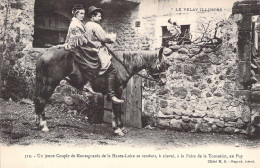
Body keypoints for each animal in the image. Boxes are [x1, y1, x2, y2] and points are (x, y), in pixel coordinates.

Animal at [34, 46, 169, 136]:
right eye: (162, 64)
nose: (163, 81)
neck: (123, 64)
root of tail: (43, 54)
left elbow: (116, 109)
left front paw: (118, 127)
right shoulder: (117, 91)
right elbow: (116, 109)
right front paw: (117, 129)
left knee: (37, 100)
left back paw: (38, 123)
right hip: (49, 84)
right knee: (41, 101)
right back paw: (44, 126)